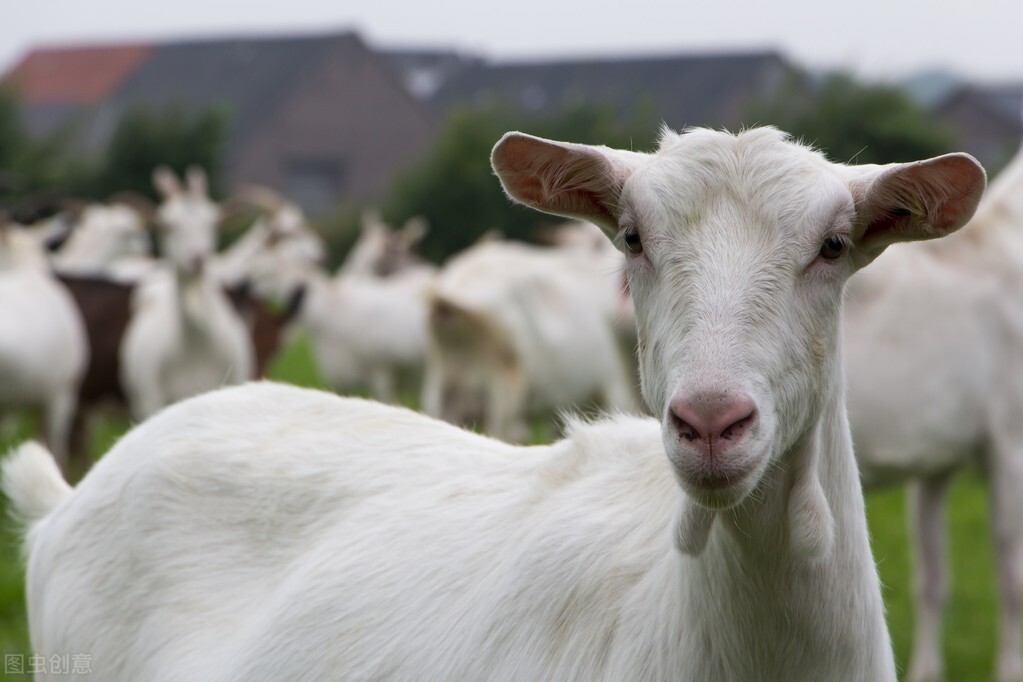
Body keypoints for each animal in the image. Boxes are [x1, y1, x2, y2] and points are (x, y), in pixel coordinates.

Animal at [842, 140, 1023, 682]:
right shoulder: (1011, 441)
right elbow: (1012, 574)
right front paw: (1011, 670)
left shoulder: (935, 459)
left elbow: (932, 575)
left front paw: (924, 671)